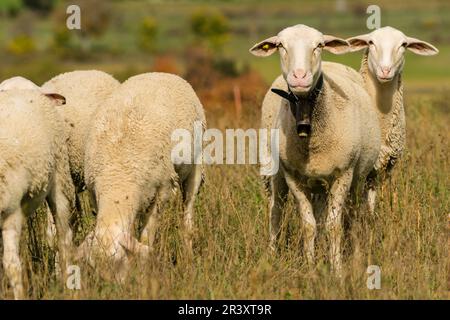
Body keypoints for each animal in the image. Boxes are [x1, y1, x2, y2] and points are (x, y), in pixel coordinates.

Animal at [78, 72, 206, 280]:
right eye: (93, 267)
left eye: (119, 262)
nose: (111, 287)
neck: (117, 176)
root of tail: (159, 73)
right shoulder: (94, 193)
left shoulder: (162, 189)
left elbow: (146, 238)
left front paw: (145, 273)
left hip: (195, 166)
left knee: (187, 215)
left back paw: (188, 261)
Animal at [251, 25, 382, 276]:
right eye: (281, 46)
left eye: (319, 45)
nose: (300, 77)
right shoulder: (293, 176)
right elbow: (309, 225)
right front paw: (311, 270)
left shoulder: (343, 174)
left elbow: (333, 226)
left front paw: (337, 271)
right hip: (281, 174)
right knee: (276, 211)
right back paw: (272, 255)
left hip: (356, 178)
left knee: (354, 214)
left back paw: (354, 255)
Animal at [346, 26, 438, 214]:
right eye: (371, 42)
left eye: (404, 44)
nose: (385, 70)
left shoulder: (384, 163)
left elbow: (371, 197)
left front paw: (371, 217)